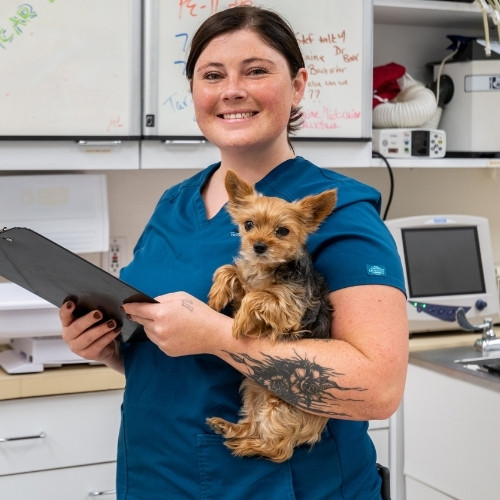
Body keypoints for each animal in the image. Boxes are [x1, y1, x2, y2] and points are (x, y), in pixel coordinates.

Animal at [205, 170, 338, 462]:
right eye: (248, 224)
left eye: (282, 231)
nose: (259, 246)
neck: (267, 268)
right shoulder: (245, 283)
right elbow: (229, 270)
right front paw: (217, 296)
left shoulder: (288, 308)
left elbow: (258, 297)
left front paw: (240, 322)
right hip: (252, 389)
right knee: (252, 424)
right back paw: (229, 428)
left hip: (279, 404)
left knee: (279, 448)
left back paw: (248, 447)